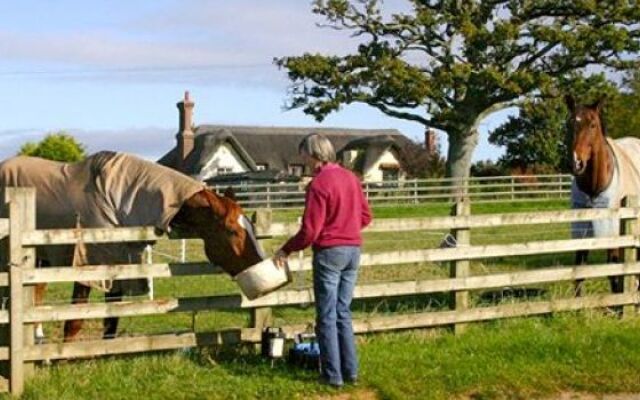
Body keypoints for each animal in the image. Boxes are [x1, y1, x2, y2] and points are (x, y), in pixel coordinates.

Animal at [0, 151, 264, 340]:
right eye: (232, 231)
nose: (260, 265)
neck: (116, 199)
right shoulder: (88, 266)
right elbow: (74, 321)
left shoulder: (118, 265)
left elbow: (111, 319)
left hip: (41, 257)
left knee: (36, 292)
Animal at [568, 94, 640, 294]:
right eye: (570, 124)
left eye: (593, 125)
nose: (576, 163)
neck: (594, 188)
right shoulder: (582, 233)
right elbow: (580, 272)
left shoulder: (611, 234)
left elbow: (614, 274)